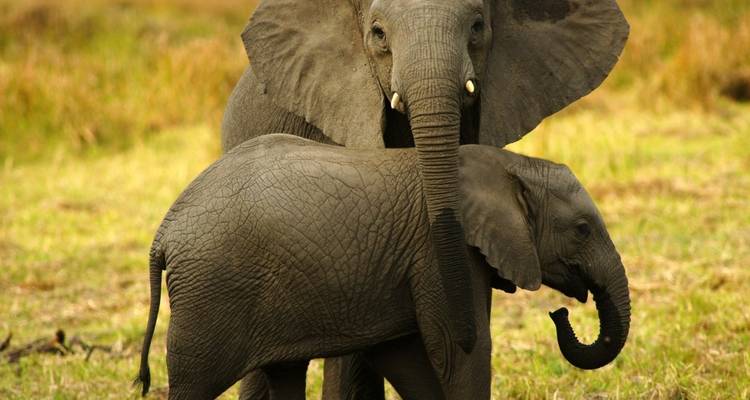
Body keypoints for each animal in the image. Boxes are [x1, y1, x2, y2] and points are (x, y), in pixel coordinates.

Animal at [136, 134, 631, 399]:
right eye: (583, 229)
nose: (558, 313)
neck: (509, 165)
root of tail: (164, 231)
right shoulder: (437, 251)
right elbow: (456, 349)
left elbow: (404, 354)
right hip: (211, 293)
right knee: (194, 385)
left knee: (286, 373)